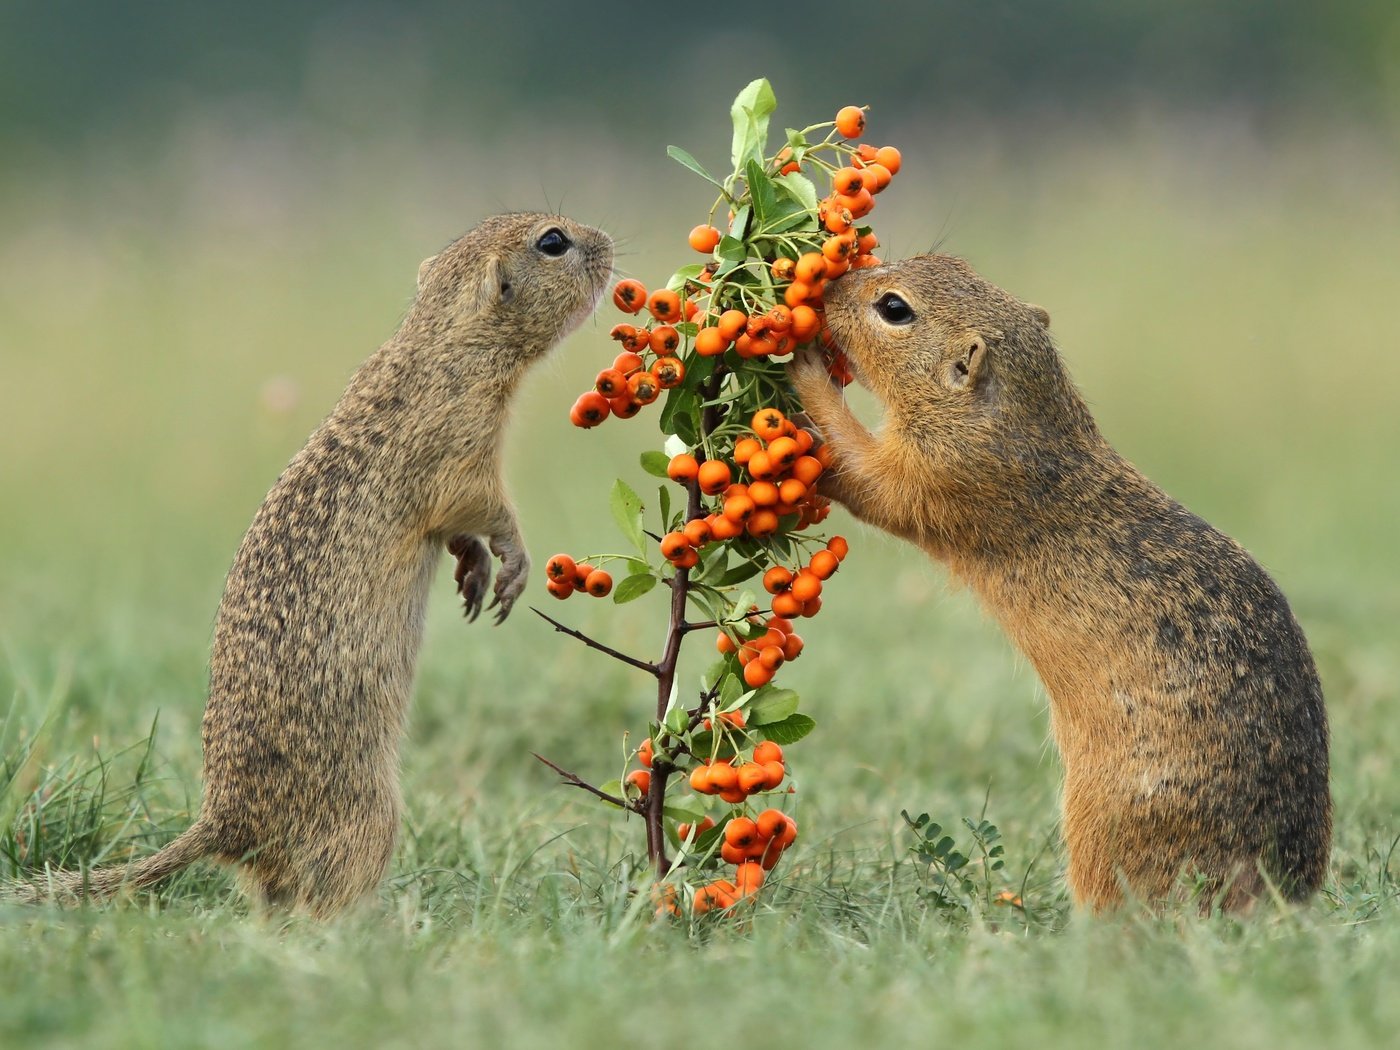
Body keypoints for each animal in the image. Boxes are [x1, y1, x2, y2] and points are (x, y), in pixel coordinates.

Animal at [795, 254, 1327, 912]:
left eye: (894, 308)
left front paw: (802, 373)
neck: (1027, 421)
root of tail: (1279, 896)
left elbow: (860, 469)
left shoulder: (938, 473)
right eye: (948, 261)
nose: (827, 289)